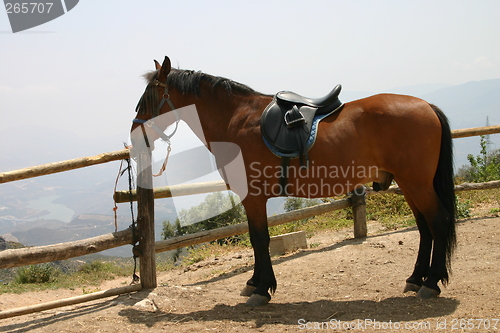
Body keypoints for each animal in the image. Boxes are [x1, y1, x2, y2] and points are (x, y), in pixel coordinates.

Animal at [131, 55, 456, 304]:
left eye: (147, 97)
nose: (134, 137)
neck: (235, 119)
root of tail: (427, 106)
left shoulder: (253, 197)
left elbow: (260, 239)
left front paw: (262, 289)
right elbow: (256, 240)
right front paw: (254, 283)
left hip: (417, 184)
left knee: (437, 223)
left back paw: (430, 283)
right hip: (409, 184)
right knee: (425, 228)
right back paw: (415, 278)